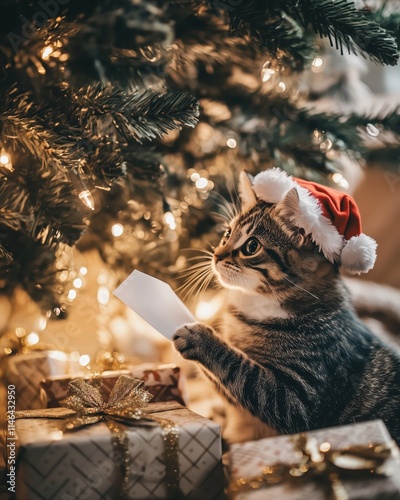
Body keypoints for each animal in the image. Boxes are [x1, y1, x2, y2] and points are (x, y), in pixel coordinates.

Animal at [173, 170, 400, 444]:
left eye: (251, 246)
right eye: (227, 234)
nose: (216, 255)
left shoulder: (298, 399)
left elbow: (242, 370)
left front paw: (200, 337)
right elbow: (224, 384)